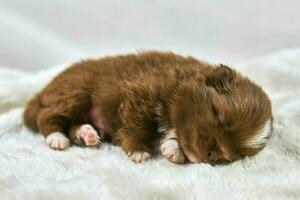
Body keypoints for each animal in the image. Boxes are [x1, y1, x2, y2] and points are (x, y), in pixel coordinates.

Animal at [22, 50, 272, 165]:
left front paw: (173, 149)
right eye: (217, 115)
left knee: (72, 124)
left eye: (232, 155)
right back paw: (57, 138)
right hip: (76, 92)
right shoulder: (142, 94)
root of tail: (44, 90)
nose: (210, 154)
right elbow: (138, 126)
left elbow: (173, 135)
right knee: (47, 116)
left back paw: (87, 133)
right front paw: (138, 150)